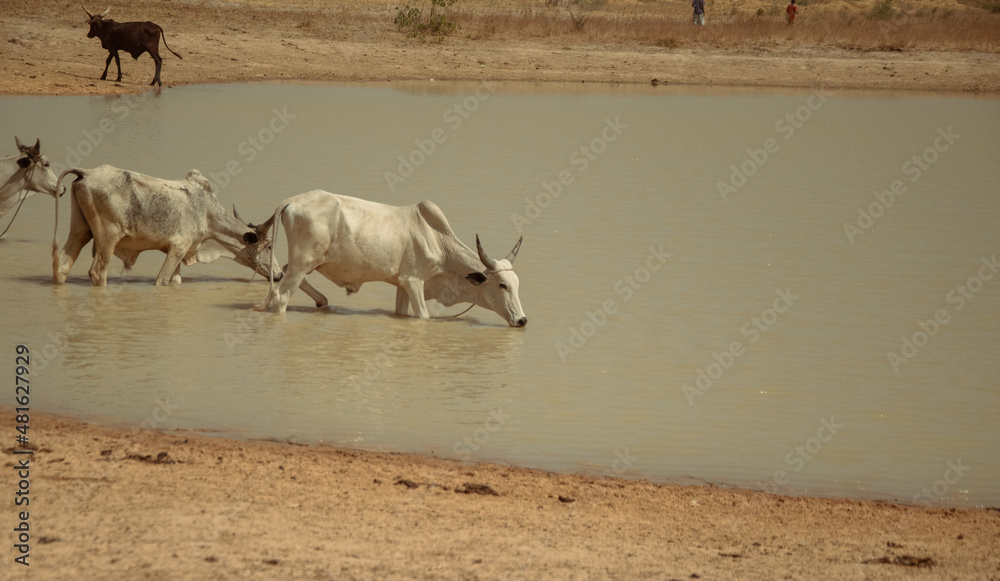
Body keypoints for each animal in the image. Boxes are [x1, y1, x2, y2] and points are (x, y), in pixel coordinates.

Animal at [52, 165, 280, 287]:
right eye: (269, 246)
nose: (278, 275)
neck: (208, 214)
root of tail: (87, 172)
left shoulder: (177, 251)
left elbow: (174, 281)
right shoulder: (178, 248)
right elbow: (161, 281)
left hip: (80, 231)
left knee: (62, 265)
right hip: (108, 239)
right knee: (98, 273)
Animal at [255, 190, 528, 328]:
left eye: (517, 285)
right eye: (502, 285)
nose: (522, 320)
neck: (439, 243)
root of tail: (292, 201)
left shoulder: (402, 286)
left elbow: (401, 313)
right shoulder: (414, 282)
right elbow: (423, 317)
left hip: (307, 264)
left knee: (285, 272)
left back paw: (322, 301)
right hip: (303, 263)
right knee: (280, 295)